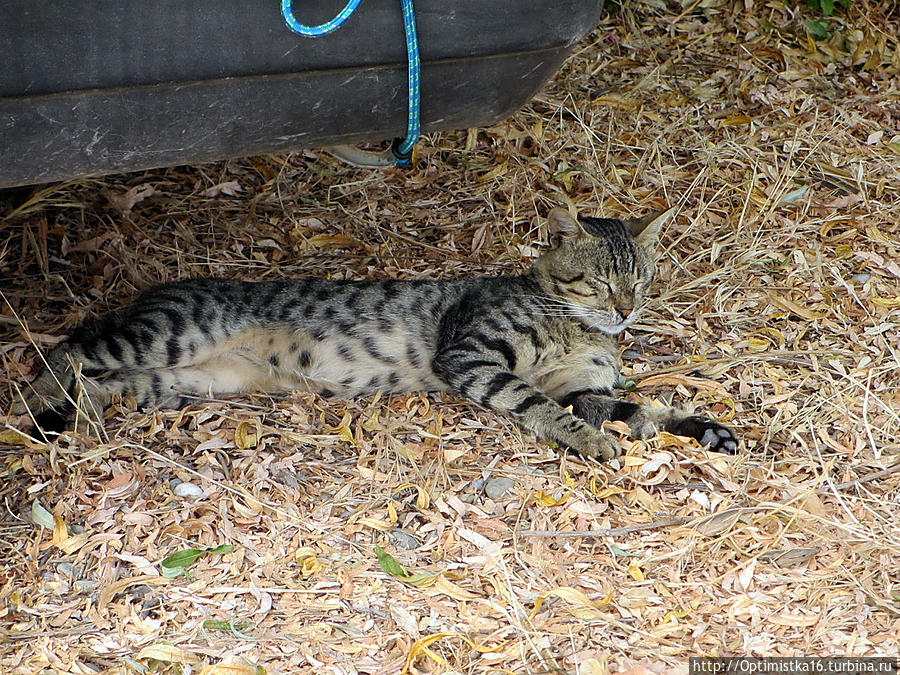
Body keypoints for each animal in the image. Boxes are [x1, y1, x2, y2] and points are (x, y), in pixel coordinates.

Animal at [12, 209, 740, 462]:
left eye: (640, 277)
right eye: (599, 281)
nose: (626, 311)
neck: (578, 326)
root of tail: (154, 289)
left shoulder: (584, 386)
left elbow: (642, 408)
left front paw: (705, 428)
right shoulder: (470, 354)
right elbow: (534, 402)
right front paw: (590, 442)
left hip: (180, 382)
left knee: (102, 381)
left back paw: (72, 418)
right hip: (168, 336)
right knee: (67, 350)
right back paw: (27, 414)